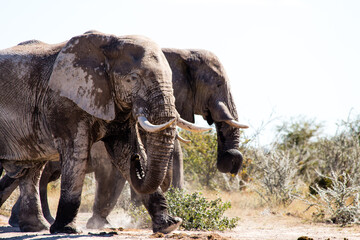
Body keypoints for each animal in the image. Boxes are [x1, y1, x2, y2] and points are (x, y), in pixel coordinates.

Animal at [0, 31, 193, 233]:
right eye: (132, 78)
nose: (138, 161)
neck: (110, 43)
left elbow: (123, 152)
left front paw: (169, 225)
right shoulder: (64, 103)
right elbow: (76, 154)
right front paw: (67, 230)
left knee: (32, 171)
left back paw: (37, 227)